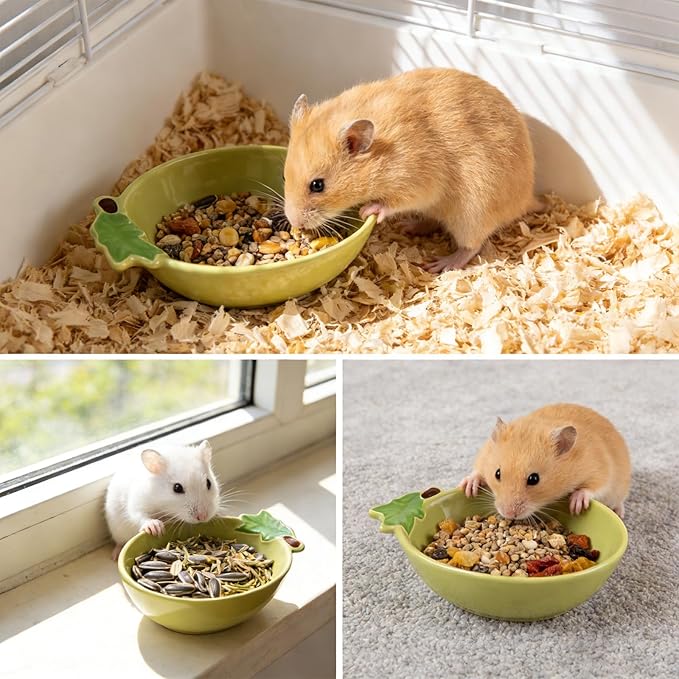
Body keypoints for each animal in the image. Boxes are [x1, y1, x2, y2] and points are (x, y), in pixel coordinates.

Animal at [283, 67, 538, 272]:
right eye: (284, 176)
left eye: (318, 185)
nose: (295, 223)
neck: (382, 154)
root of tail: (528, 199)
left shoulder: (417, 183)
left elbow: (391, 202)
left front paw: (367, 210)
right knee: (434, 221)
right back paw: (408, 226)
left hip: (472, 217)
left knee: (471, 246)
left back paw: (441, 265)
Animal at [460, 404, 631, 520]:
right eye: (497, 473)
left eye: (534, 479)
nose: (509, 515)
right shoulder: (484, 455)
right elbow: (477, 471)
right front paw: (469, 487)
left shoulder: (601, 470)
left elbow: (593, 487)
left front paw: (576, 506)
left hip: (620, 489)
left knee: (619, 501)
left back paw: (619, 513)